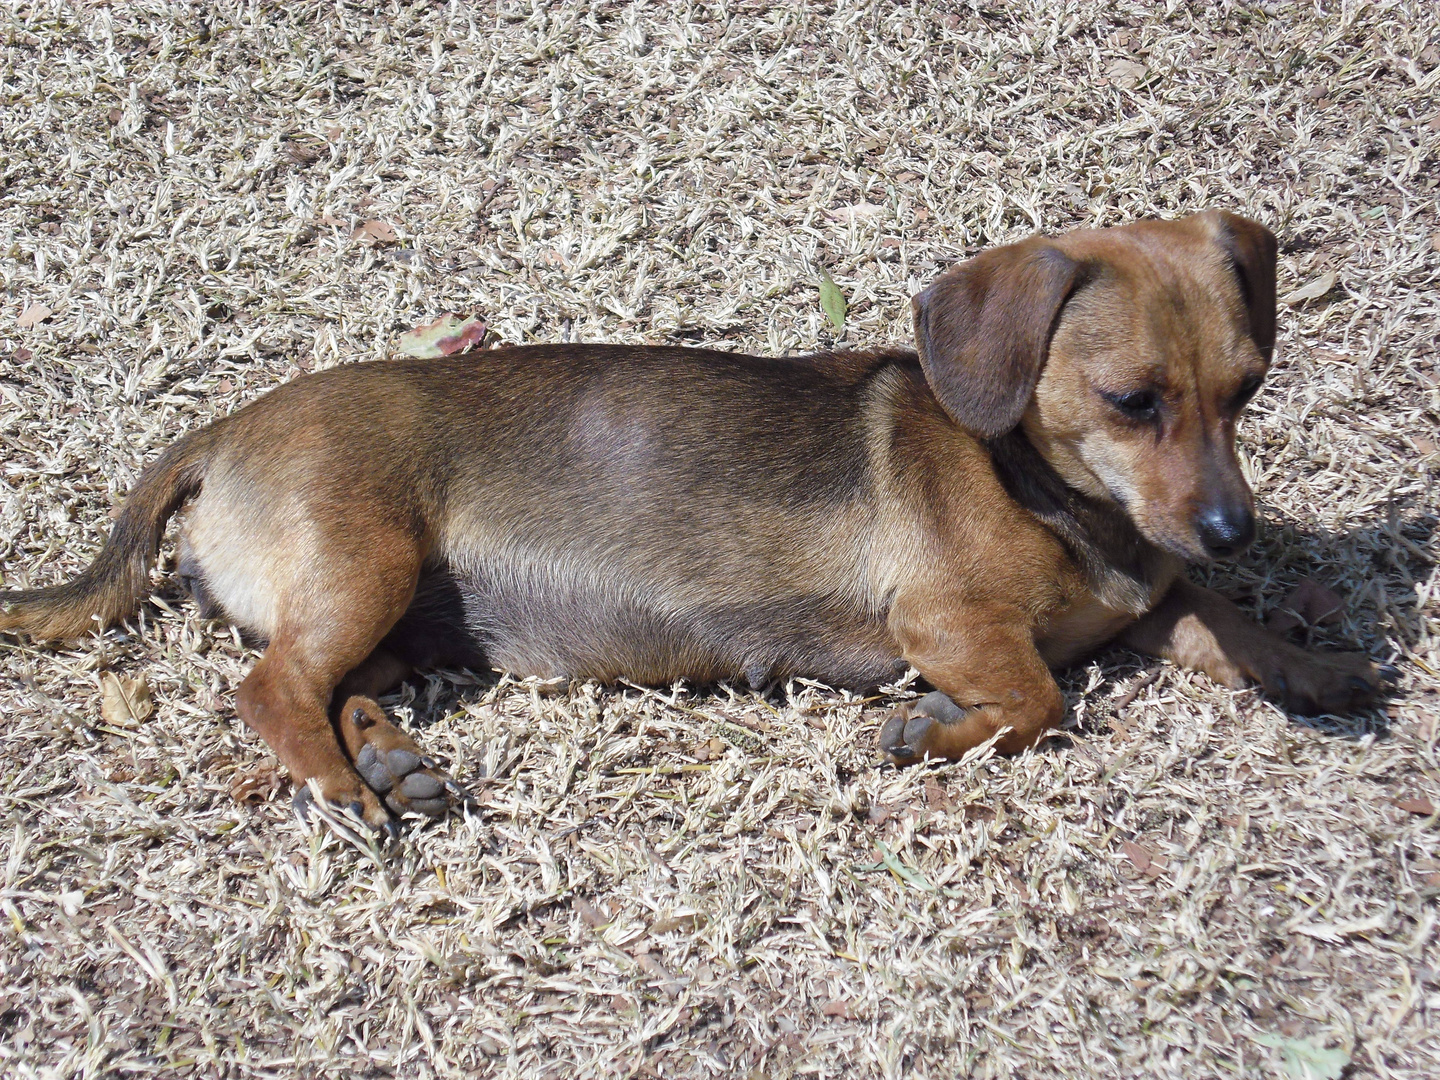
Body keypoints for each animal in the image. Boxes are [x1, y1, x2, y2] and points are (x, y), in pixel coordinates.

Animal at [2, 216, 1382, 835]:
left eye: (1247, 388)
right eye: (1132, 401)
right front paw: (934, 730)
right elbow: (1041, 700)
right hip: (365, 561)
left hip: (386, 620)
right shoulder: (948, 620)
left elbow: (1214, 622)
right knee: (271, 690)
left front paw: (1313, 665)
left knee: (330, 682)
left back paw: (388, 756)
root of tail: (221, 431)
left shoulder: (1153, 599)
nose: (1233, 528)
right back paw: (346, 785)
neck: (1048, 491)